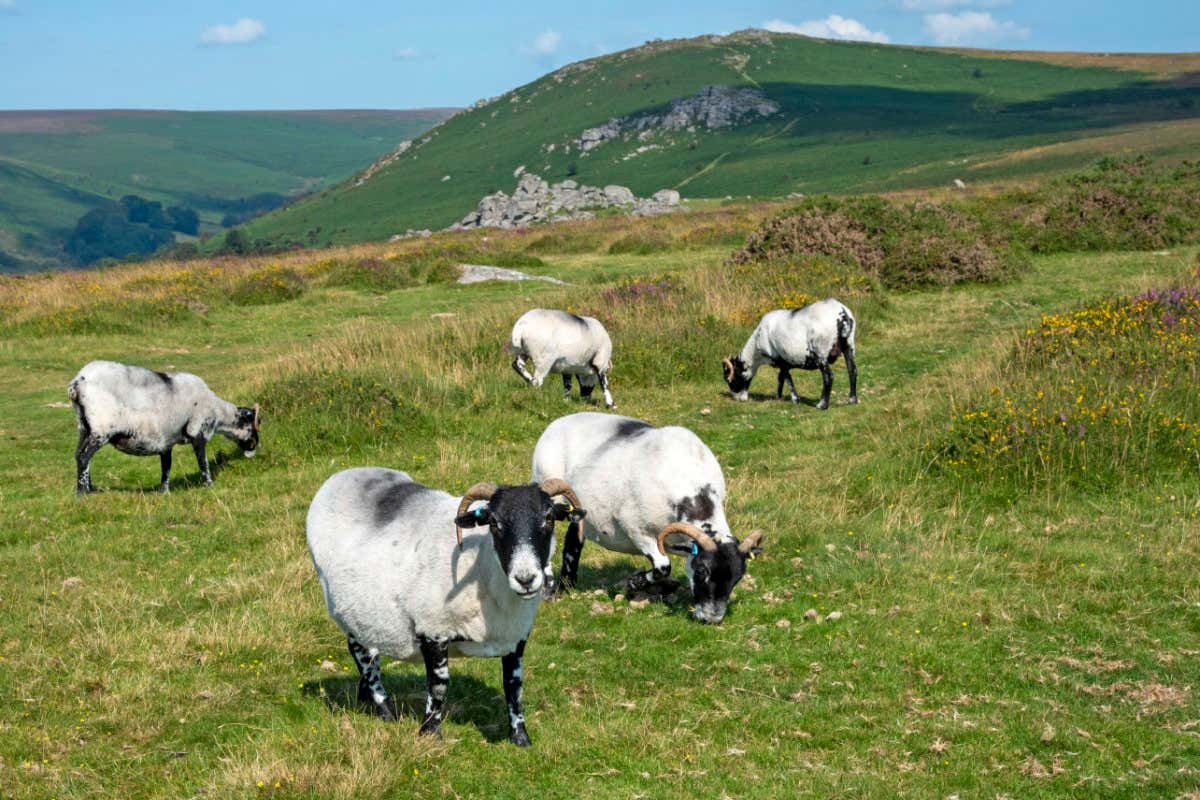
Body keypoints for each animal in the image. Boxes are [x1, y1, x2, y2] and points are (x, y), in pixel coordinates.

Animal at [67, 360, 259, 495]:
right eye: (252, 426)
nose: (254, 447)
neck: (217, 411)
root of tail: (78, 382)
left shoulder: (166, 441)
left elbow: (166, 466)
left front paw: (164, 492)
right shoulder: (198, 432)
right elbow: (203, 462)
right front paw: (209, 485)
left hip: (84, 426)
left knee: (79, 455)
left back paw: (91, 489)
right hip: (102, 428)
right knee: (84, 456)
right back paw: (82, 493)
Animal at [306, 468, 584, 746]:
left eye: (549, 518)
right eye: (494, 523)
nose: (525, 579)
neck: (484, 567)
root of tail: (344, 474)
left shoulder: (515, 637)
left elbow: (513, 687)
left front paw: (520, 737)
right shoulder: (433, 630)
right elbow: (439, 685)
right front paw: (430, 733)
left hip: (371, 614)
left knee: (371, 655)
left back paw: (367, 698)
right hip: (344, 610)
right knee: (360, 655)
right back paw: (386, 710)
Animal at [531, 412, 763, 624]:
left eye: (738, 577)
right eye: (702, 571)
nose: (711, 619)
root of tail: (560, 420)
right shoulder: (635, 527)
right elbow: (663, 566)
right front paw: (633, 582)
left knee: (574, 540)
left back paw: (567, 585)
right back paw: (550, 590)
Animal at [722, 298, 858, 410]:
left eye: (729, 378)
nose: (737, 398)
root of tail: (842, 313)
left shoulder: (781, 360)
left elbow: (787, 379)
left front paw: (795, 399)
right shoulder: (784, 362)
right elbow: (780, 378)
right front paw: (778, 396)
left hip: (820, 352)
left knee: (828, 376)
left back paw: (822, 405)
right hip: (849, 346)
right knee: (852, 371)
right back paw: (852, 400)